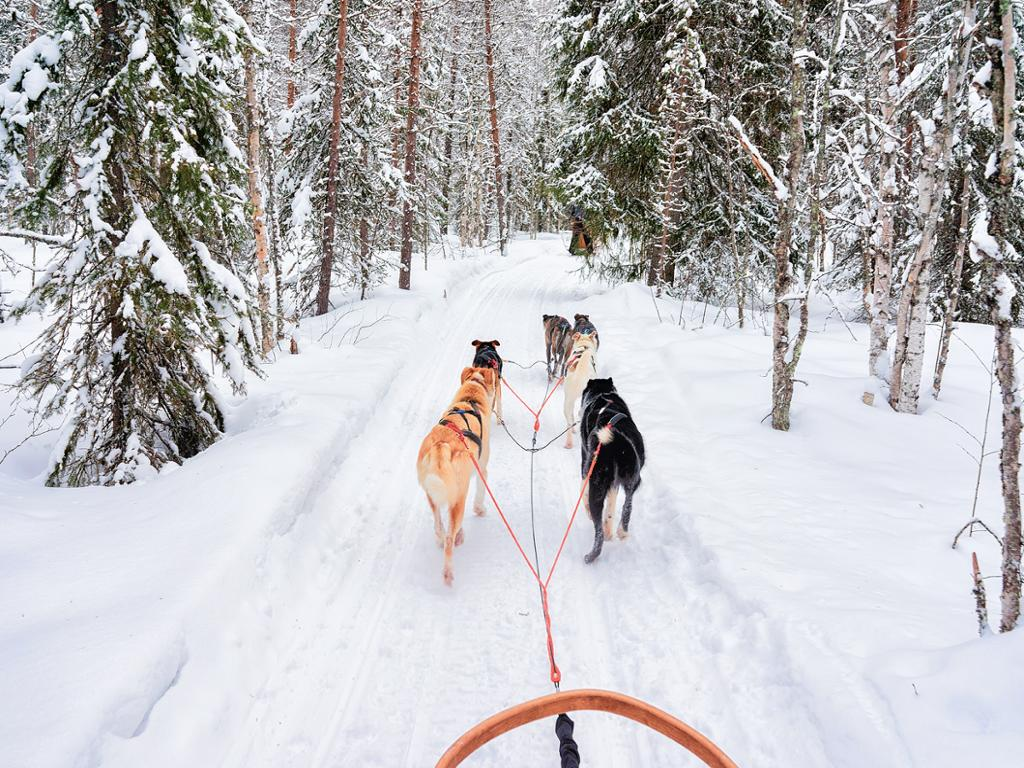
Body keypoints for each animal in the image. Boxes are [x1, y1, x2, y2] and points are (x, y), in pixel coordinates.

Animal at [417, 366, 497, 585]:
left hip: (433, 496)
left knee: (439, 526)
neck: (471, 397)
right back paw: (448, 571)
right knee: (449, 539)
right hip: (459, 498)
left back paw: (441, 537)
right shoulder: (482, 470)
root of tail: (441, 445)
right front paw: (480, 510)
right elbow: (480, 495)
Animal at [578, 378, 644, 564]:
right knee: (627, 507)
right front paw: (610, 530)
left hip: (596, 483)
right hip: (632, 480)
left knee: (598, 530)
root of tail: (616, 441)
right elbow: (611, 508)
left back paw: (591, 555)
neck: (604, 396)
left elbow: (583, 493)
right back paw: (621, 532)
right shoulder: (614, 485)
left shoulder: (585, 467)